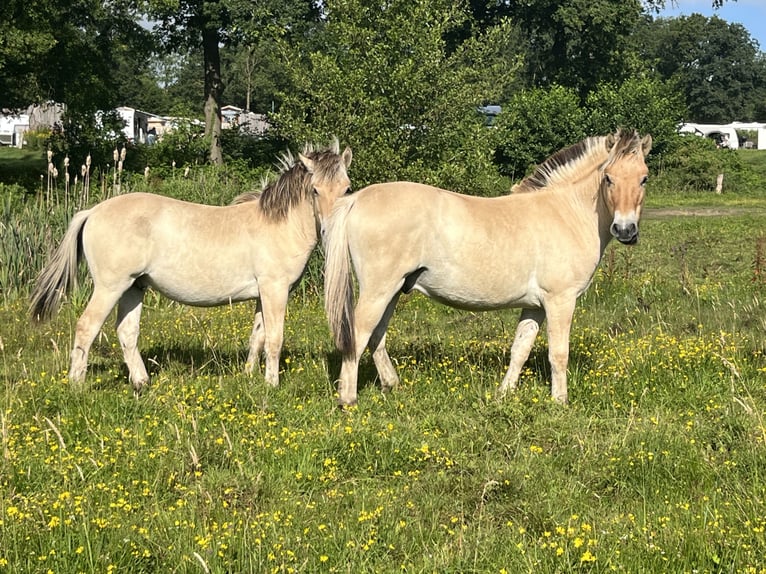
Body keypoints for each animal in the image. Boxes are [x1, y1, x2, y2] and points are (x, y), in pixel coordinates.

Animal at [30, 139, 352, 391]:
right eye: (315, 190)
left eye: (347, 189)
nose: (330, 230)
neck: (278, 224)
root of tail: (92, 211)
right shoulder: (275, 290)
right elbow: (274, 338)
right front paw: (271, 385)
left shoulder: (263, 294)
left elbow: (257, 337)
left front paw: (249, 376)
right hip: (110, 287)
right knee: (87, 327)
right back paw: (77, 385)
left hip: (134, 287)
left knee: (127, 332)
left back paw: (141, 383)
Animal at [323, 130, 651, 406]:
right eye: (608, 177)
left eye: (644, 178)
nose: (625, 230)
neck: (566, 212)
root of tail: (357, 199)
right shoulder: (560, 300)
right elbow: (558, 353)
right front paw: (560, 402)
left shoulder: (535, 305)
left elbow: (520, 349)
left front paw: (503, 394)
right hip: (379, 290)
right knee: (359, 335)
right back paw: (348, 400)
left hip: (393, 290)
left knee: (376, 336)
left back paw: (393, 386)